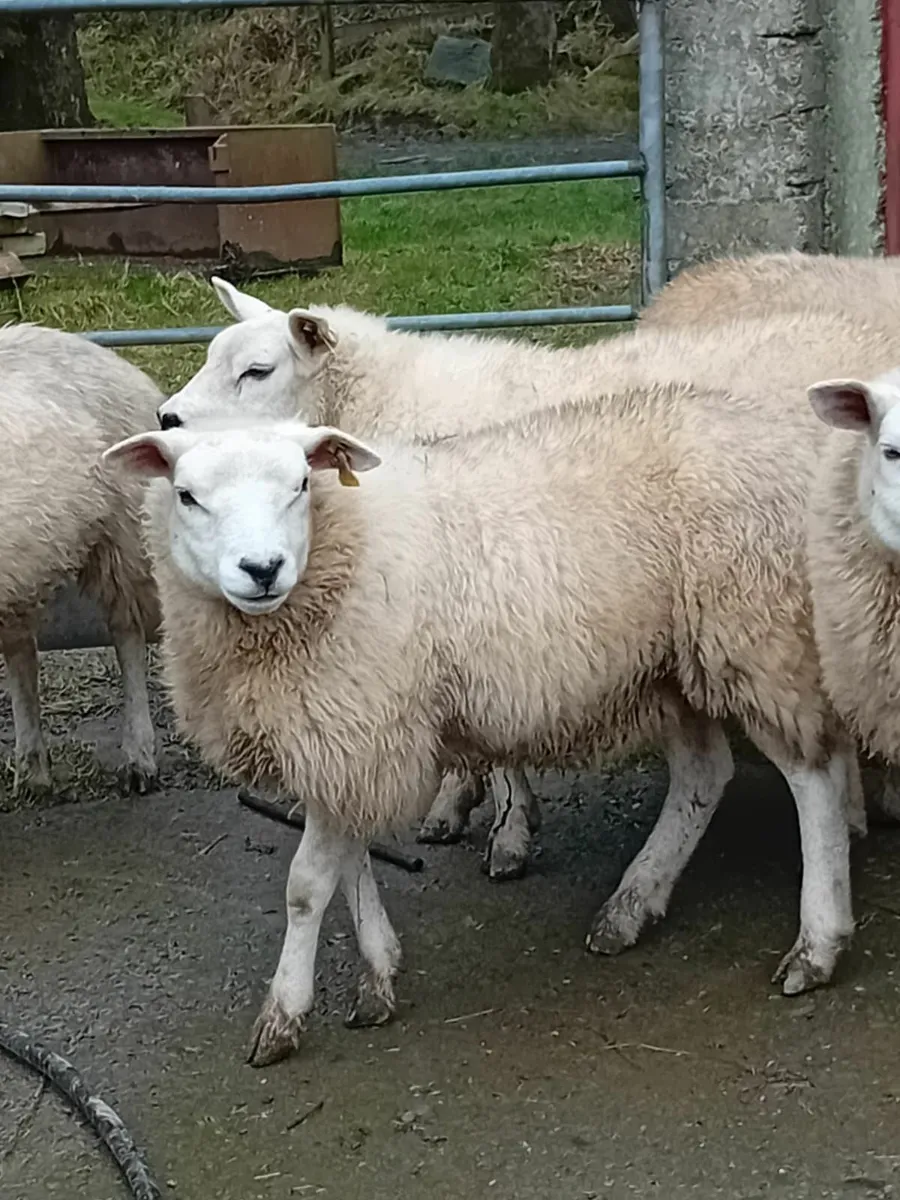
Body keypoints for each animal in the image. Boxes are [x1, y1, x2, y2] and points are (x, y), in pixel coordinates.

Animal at [104, 386, 858, 1067]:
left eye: (299, 484)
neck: (343, 547)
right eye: (186, 496)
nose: (262, 569)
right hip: (672, 662)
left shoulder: (357, 726)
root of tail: (788, 439)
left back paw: (816, 944)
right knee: (704, 777)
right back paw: (632, 904)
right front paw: (379, 975)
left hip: (754, 632)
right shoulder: (351, 738)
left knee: (813, 779)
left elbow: (306, 886)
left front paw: (284, 1014)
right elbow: (349, 865)